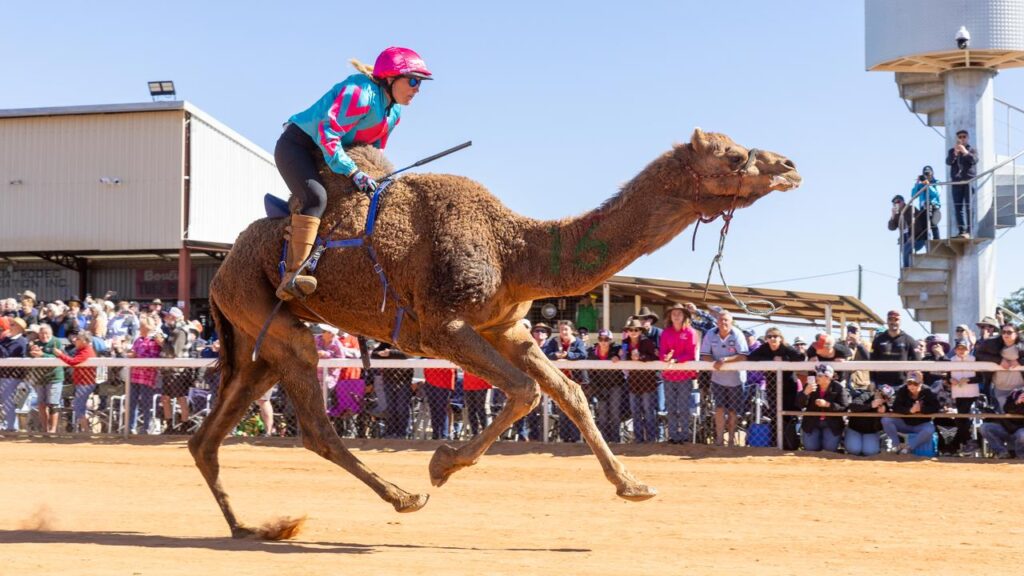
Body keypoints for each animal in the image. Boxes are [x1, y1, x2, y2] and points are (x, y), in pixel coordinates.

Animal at [189, 128, 801, 539]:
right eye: (732, 154)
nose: (790, 164)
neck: (515, 250)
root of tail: (219, 270)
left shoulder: (506, 327)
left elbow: (570, 392)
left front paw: (633, 485)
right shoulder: (439, 328)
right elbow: (527, 392)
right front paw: (441, 463)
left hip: (254, 341)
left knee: (209, 436)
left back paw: (248, 527)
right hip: (270, 317)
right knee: (313, 426)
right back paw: (403, 498)